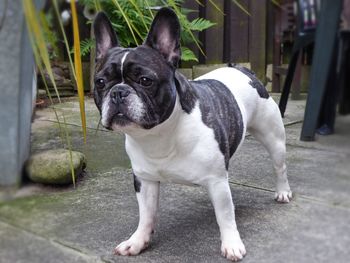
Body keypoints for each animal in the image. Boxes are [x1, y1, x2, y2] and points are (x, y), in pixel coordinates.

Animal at [91, 7, 292, 262]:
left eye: (145, 80)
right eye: (100, 82)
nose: (118, 92)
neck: (159, 135)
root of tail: (243, 69)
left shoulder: (216, 181)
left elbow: (225, 216)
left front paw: (232, 244)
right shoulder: (144, 180)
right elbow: (146, 214)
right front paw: (137, 242)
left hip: (273, 138)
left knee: (279, 167)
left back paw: (283, 192)